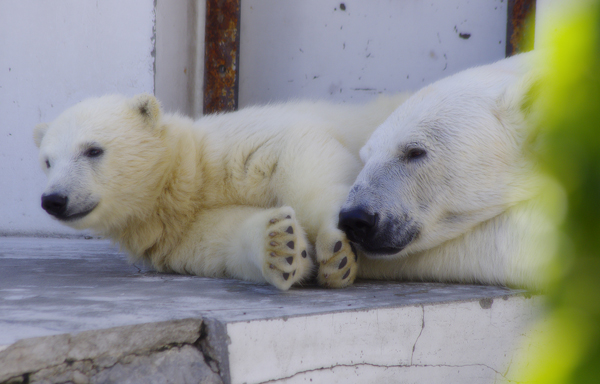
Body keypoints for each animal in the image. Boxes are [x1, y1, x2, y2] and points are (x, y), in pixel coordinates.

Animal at [34, 94, 408, 290]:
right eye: (48, 161)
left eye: (93, 150)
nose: (54, 199)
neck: (186, 177)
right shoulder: (178, 235)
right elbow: (224, 236)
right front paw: (281, 246)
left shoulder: (239, 147)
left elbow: (305, 152)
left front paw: (337, 253)